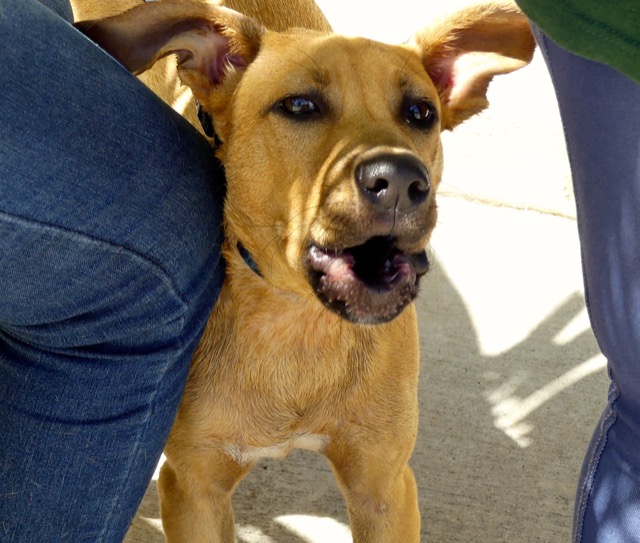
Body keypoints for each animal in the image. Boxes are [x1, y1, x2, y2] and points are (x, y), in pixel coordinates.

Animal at [75, 2, 536, 540]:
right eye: (299, 106)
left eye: (420, 113)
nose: (401, 181)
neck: (299, 326)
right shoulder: (193, 487)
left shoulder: (384, 487)